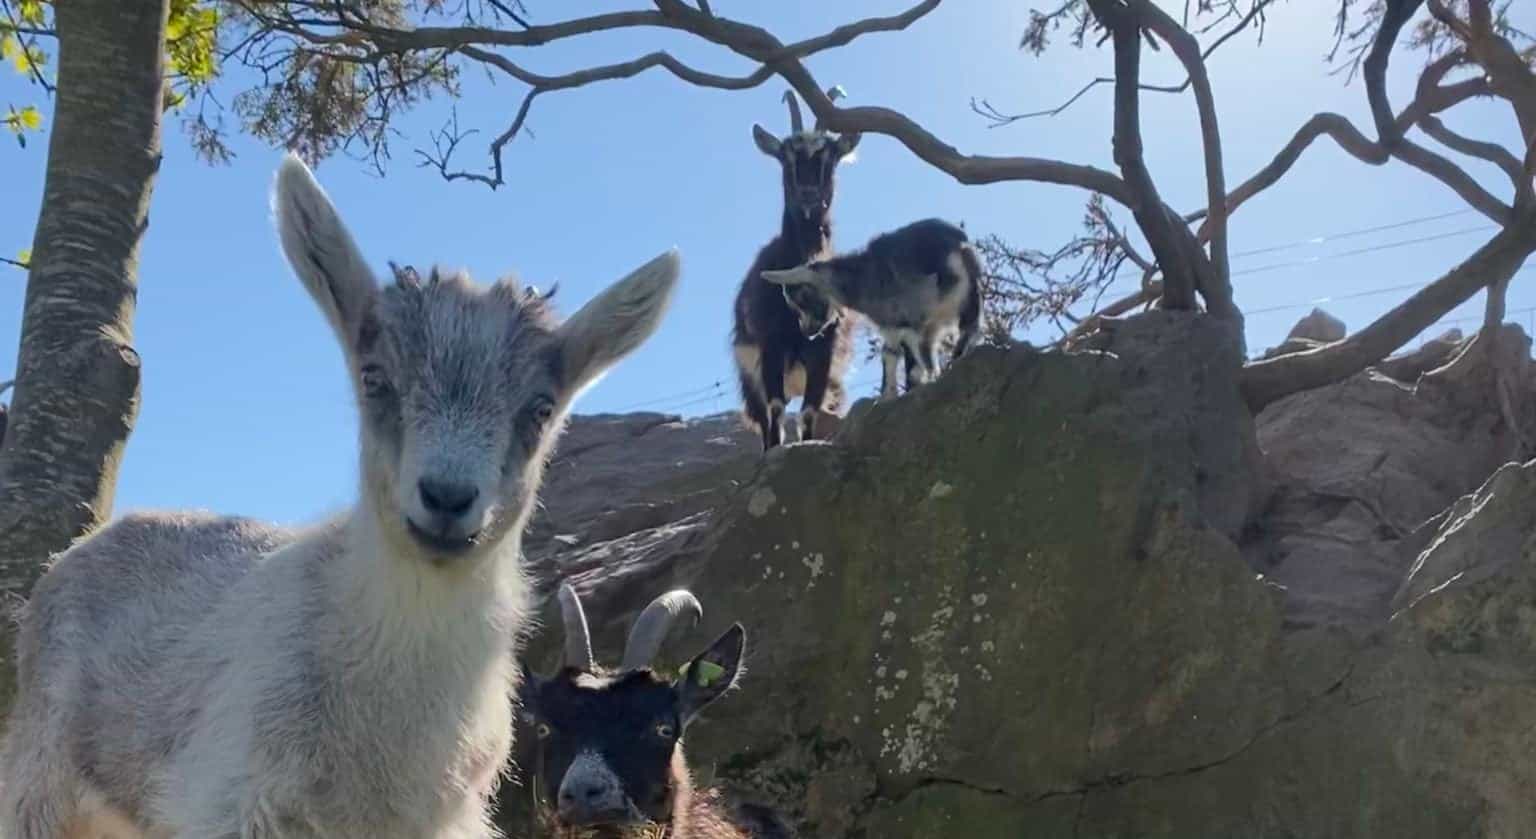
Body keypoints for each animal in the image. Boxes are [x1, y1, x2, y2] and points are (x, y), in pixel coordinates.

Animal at [731, 90, 858, 451]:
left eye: (830, 157)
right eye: (785, 156)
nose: (809, 195)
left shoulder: (824, 351)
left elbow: (810, 412)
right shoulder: (770, 347)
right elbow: (775, 411)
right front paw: (775, 453)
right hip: (749, 374)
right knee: (763, 415)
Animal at [762, 218, 981, 400]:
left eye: (802, 299)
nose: (807, 332)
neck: (858, 278)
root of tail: (956, 247)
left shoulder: (903, 321)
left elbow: (908, 363)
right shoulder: (894, 328)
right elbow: (889, 354)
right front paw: (887, 396)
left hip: (925, 316)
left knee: (928, 358)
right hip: (969, 302)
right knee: (969, 331)